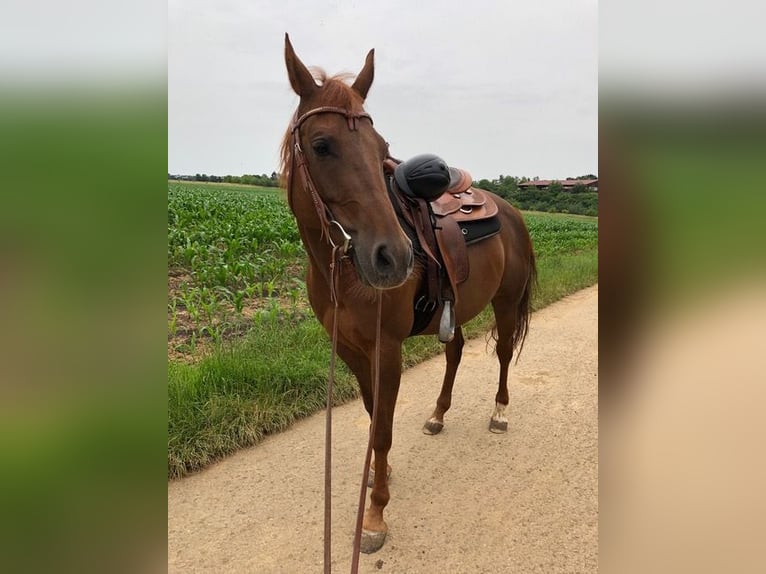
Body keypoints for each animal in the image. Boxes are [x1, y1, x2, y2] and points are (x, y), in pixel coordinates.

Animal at [280, 36, 536, 560]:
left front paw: (375, 513)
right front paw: (379, 476)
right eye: (321, 145)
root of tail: (511, 210)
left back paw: (499, 412)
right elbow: (372, 416)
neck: (340, 270)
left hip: (504, 303)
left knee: (502, 352)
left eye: (381, 148)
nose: (393, 257)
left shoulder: (388, 349)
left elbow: (381, 429)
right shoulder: (350, 349)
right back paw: (438, 414)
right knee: (455, 352)